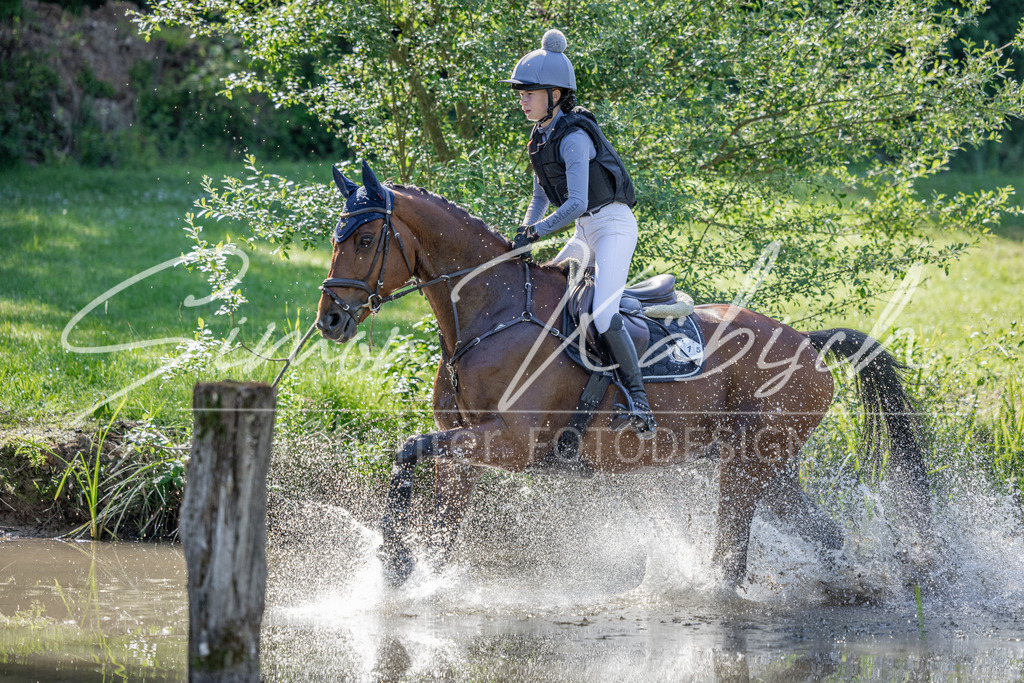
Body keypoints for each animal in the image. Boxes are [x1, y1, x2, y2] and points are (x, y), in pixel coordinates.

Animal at [316, 161, 930, 588]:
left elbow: (406, 452)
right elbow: (437, 521)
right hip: (772, 470)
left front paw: (393, 559)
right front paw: (406, 572)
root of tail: (805, 341)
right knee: (822, 534)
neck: (491, 315)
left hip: (747, 465)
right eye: (334, 239)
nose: (331, 319)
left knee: (731, 555)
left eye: (365, 240)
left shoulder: (511, 444)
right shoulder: (463, 445)